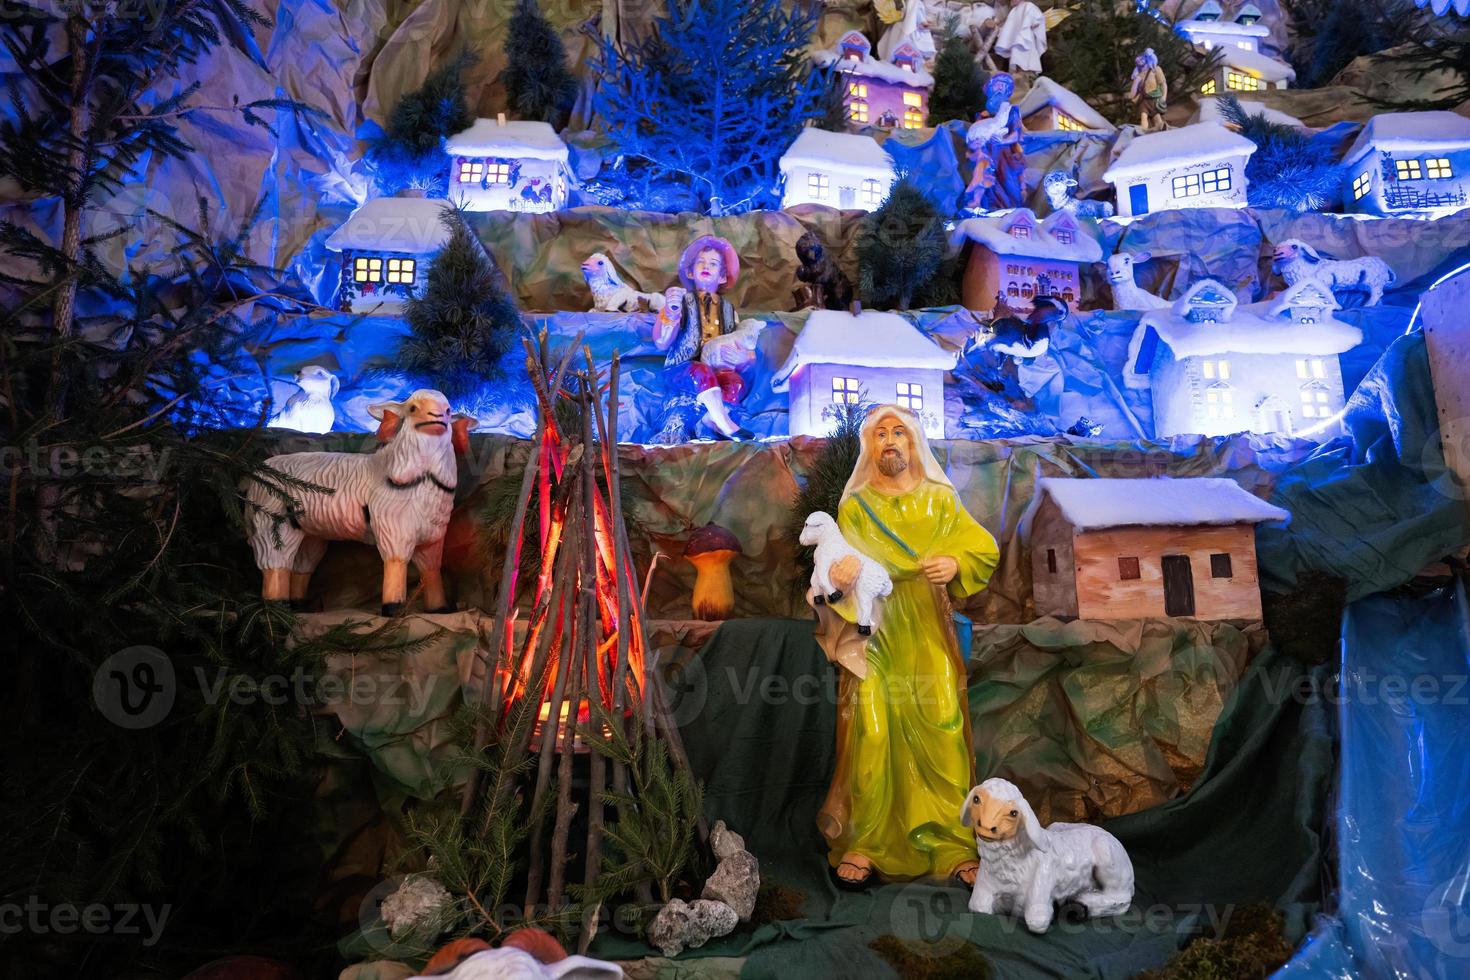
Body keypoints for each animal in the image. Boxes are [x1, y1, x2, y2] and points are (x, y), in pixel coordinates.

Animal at [799, 511, 887, 640]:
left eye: (806, 525)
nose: (800, 540)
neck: (828, 540)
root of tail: (886, 581)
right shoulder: (818, 564)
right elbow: (814, 580)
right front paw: (818, 598)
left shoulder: (824, 561)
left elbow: (823, 580)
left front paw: (834, 595)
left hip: (864, 591)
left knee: (866, 609)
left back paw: (863, 629)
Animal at [964, 775, 1134, 934]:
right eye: (976, 799)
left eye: (1013, 813)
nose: (986, 827)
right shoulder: (984, 886)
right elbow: (977, 906)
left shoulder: (1043, 878)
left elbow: (1037, 921)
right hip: (1056, 825)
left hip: (1109, 858)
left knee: (1122, 899)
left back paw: (1081, 904)